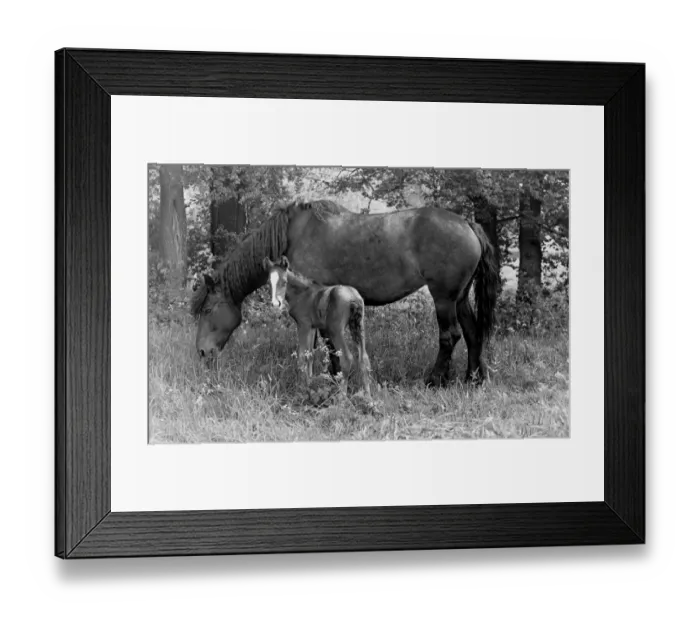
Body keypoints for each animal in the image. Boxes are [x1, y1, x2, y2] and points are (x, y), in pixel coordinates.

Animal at [262, 255, 372, 394]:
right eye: (268, 282)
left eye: (284, 282)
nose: (276, 304)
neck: (302, 293)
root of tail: (353, 297)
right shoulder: (312, 327)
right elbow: (310, 354)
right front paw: (310, 383)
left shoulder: (303, 324)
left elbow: (302, 356)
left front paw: (301, 388)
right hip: (358, 326)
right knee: (364, 359)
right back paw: (368, 396)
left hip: (335, 331)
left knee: (347, 359)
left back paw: (342, 395)